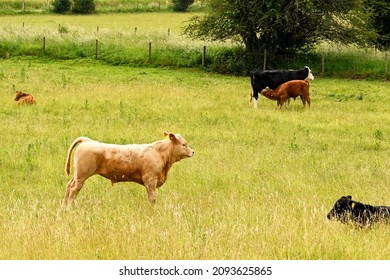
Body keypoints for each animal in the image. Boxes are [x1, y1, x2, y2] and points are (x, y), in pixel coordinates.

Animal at [62, 133, 195, 208]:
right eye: (184, 144)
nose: (193, 152)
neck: (159, 153)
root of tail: (88, 141)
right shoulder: (150, 179)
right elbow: (152, 198)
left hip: (77, 175)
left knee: (69, 186)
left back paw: (64, 207)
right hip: (81, 176)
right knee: (73, 189)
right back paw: (68, 208)